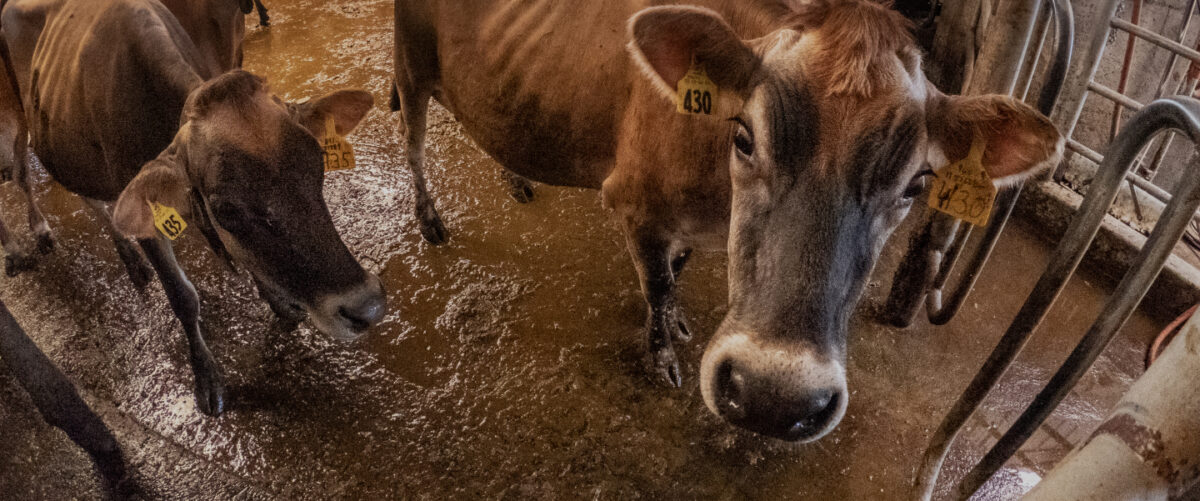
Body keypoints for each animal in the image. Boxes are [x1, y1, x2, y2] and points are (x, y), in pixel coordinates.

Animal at [0, 0, 384, 414]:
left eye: (318, 167)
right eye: (227, 209)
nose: (367, 307)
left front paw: (279, 302)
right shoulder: (147, 219)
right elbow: (182, 298)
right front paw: (207, 379)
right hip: (21, 125)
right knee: (34, 178)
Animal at [393, 0, 1060, 438]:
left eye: (917, 184)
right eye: (744, 137)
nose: (774, 397)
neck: (716, 206)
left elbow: (677, 272)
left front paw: (679, 322)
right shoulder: (633, 205)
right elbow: (657, 283)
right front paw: (662, 352)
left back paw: (515, 177)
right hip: (410, 62)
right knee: (414, 139)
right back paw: (430, 221)